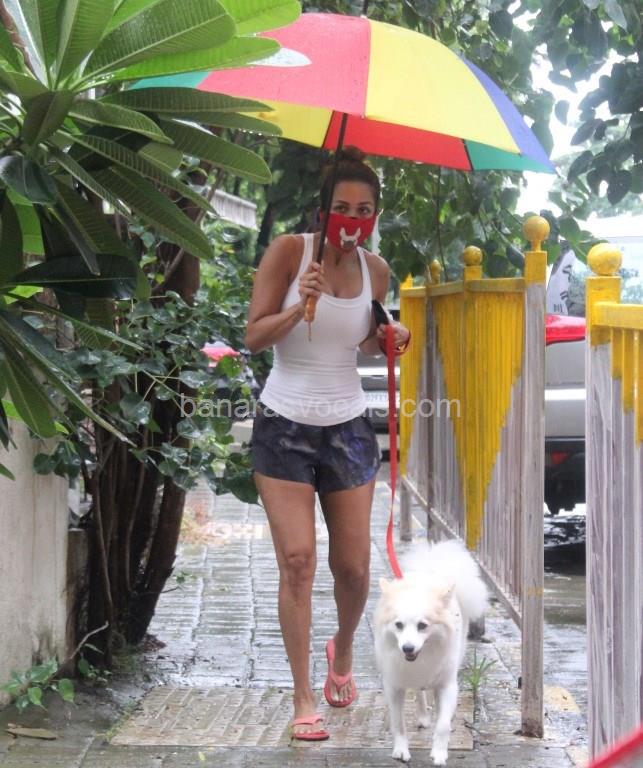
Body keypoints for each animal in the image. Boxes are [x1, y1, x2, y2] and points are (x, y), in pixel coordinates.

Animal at [374, 539, 488, 764]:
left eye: (422, 626)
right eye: (398, 625)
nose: (407, 648)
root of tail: (430, 569)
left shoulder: (446, 685)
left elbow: (442, 725)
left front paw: (439, 753)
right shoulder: (394, 686)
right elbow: (398, 723)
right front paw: (401, 750)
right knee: (419, 692)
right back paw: (423, 717)